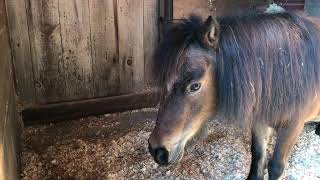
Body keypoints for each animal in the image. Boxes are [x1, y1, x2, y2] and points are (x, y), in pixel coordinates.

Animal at [148, 11, 320, 180]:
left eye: (195, 86)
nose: (157, 151)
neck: (286, 71)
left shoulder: (293, 126)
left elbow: (276, 167)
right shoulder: (259, 121)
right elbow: (258, 157)